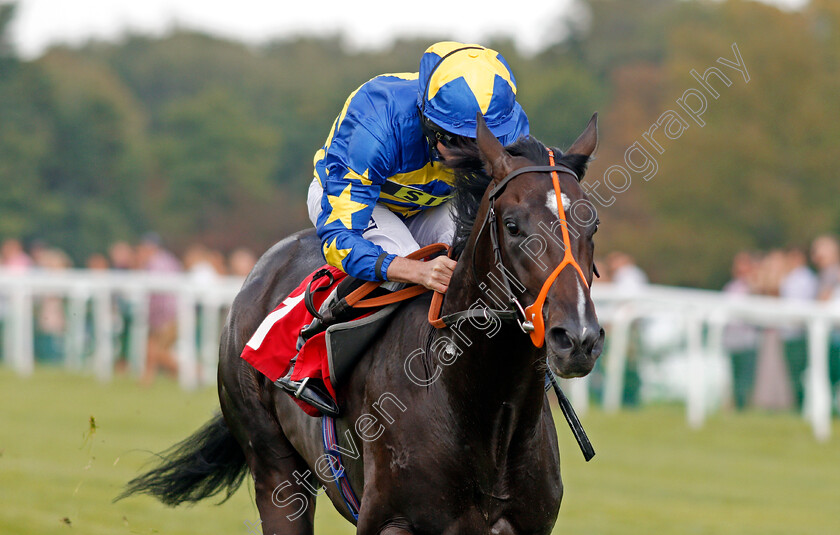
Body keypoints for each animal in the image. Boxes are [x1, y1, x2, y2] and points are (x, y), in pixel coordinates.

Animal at [120, 115, 604, 532]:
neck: (476, 405)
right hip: (275, 472)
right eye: (513, 225)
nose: (578, 338)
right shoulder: (390, 521)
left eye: (593, 224)